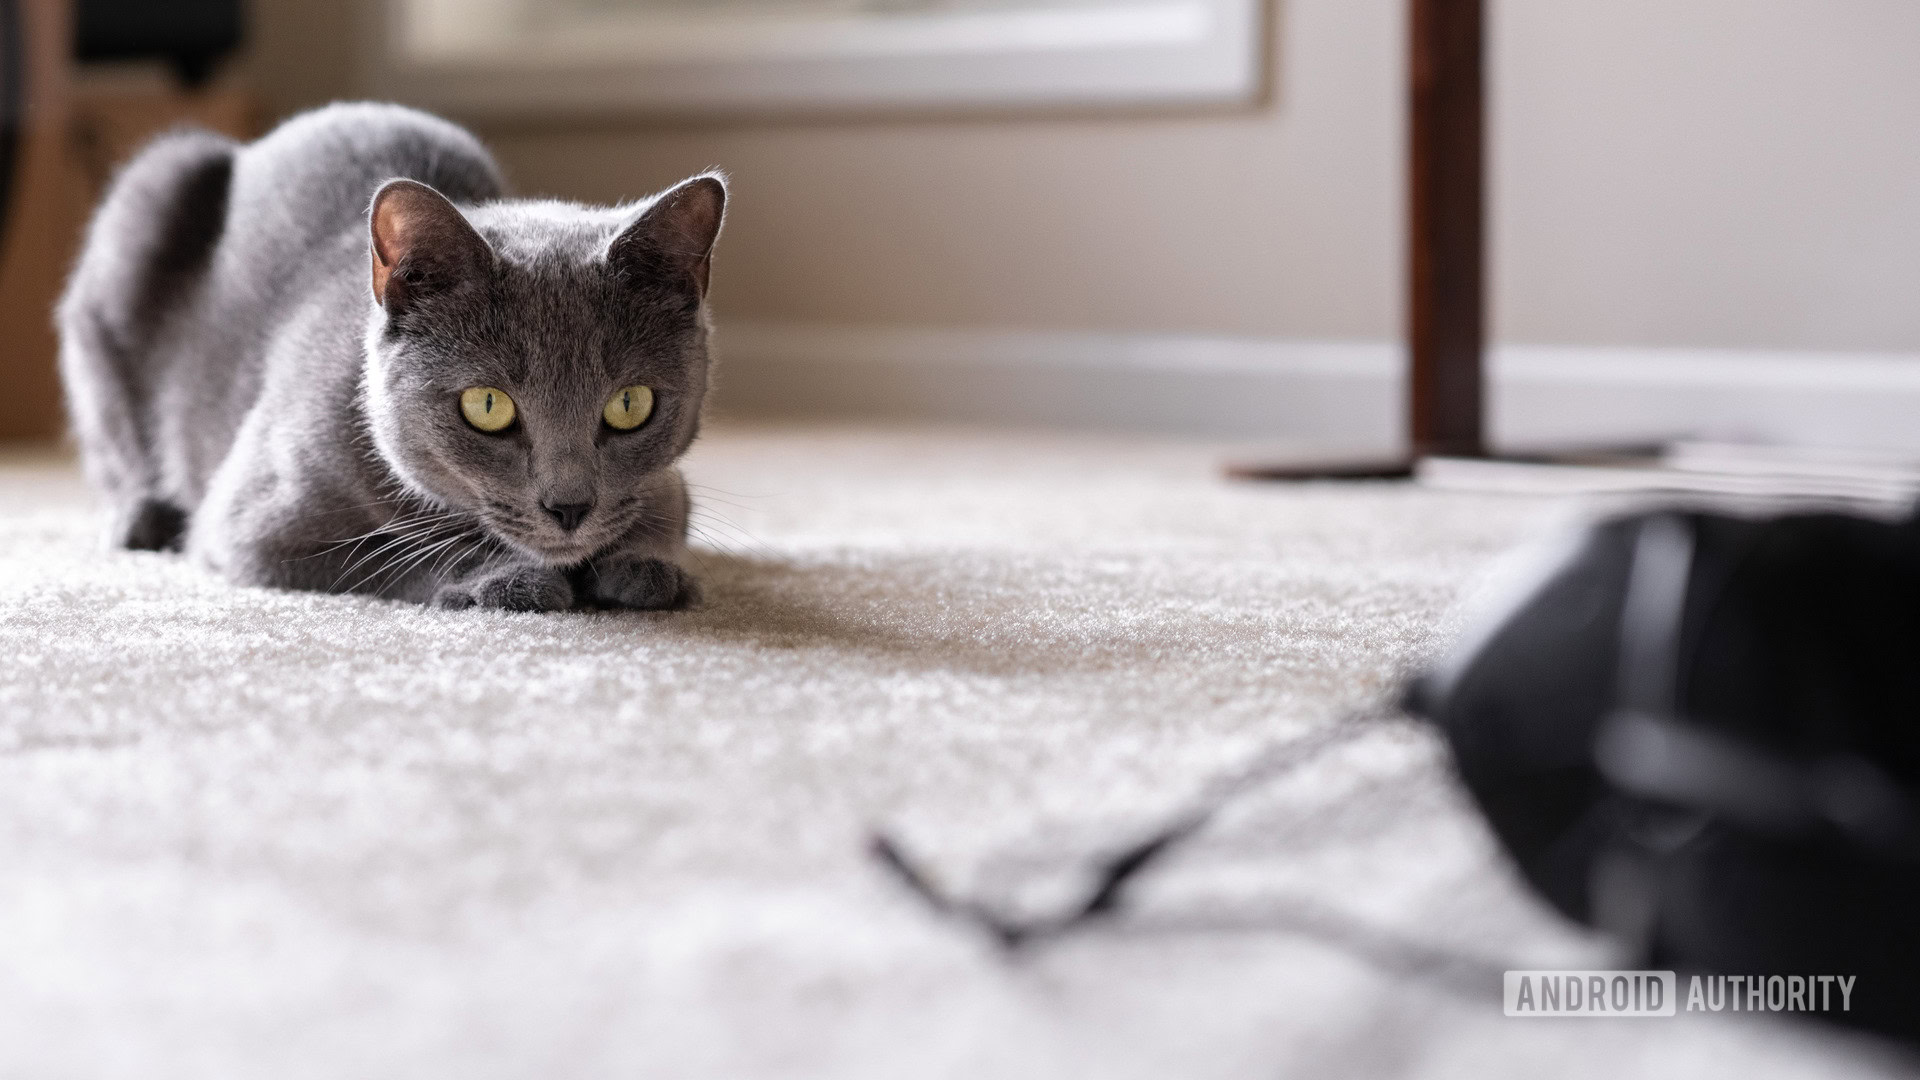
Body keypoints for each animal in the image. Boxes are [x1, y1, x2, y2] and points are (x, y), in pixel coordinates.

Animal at [56, 105, 725, 611]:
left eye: (630, 404)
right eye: (487, 406)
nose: (569, 507)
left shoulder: (667, 481)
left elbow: (663, 510)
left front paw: (645, 566)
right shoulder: (257, 526)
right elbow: (389, 553)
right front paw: (505, 578)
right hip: (141, 216)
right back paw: (142, 520)